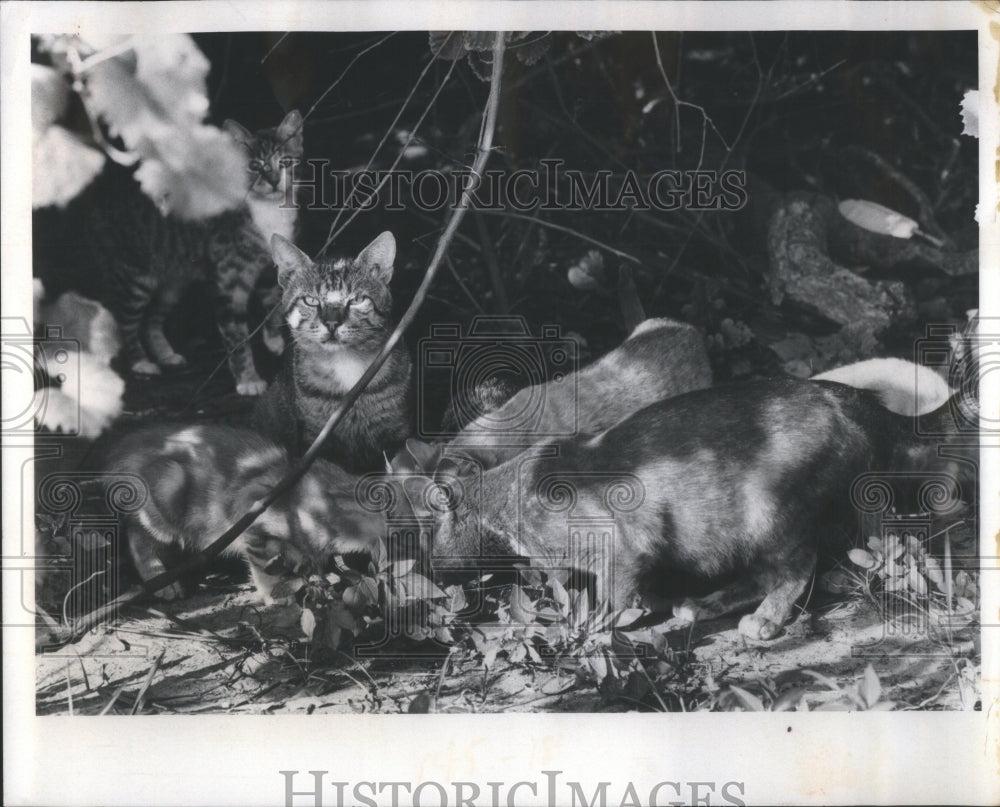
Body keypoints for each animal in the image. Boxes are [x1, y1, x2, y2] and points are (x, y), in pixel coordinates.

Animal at [34, 109, 304, 394]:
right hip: (134, 277)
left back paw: (165, 354)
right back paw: (141, 362)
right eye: (255, 166)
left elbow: (274, 302)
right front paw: (248, 379)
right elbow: (237, 336)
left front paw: (274, 340)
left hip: (173, 281)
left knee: (152, 319)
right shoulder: (227, 282)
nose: (273, 181)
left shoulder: (268, 268)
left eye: (286, 162)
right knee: (126, 321)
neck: (268, 212)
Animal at [105, 426, 378, 604]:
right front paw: (274, 595)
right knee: (137, 535)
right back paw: (161, 579)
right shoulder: (252, 516)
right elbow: (263, 570)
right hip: (168, 494)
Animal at [256, 232, 416, 474]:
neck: (346, 362)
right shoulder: (317, 440)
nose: (332, 323)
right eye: (310, 300)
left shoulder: (396, 431)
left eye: (357, 300)